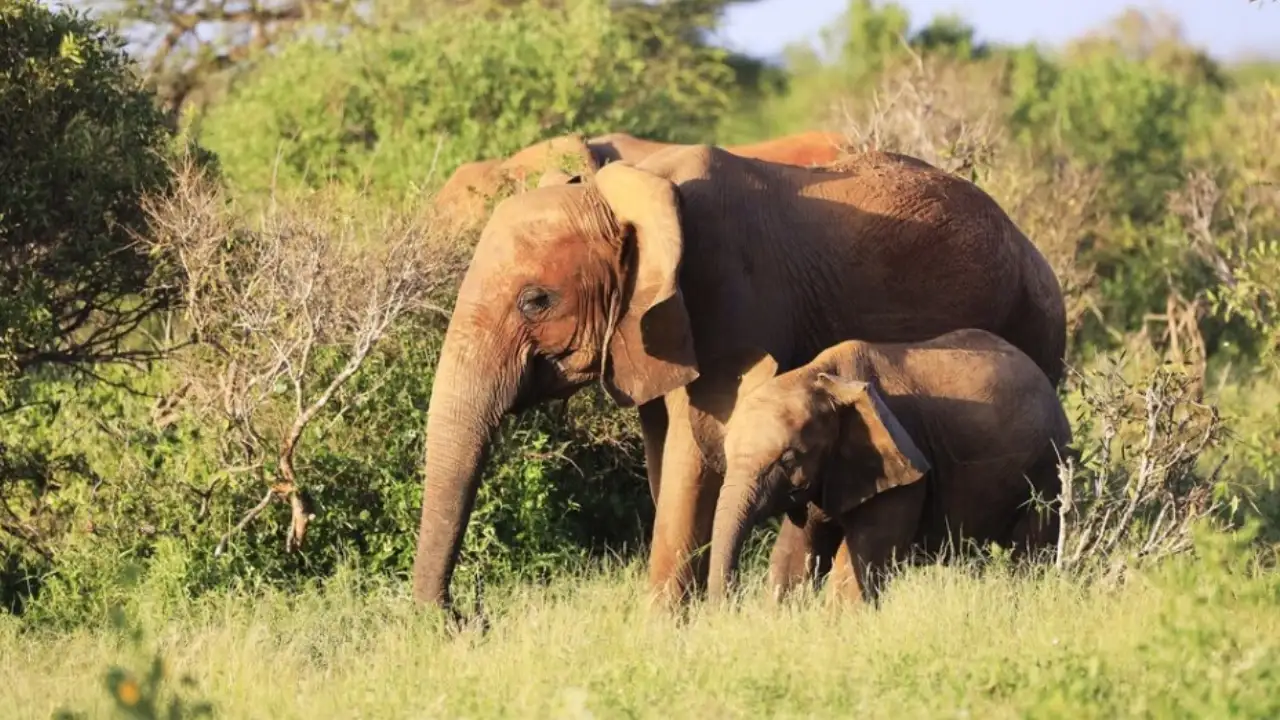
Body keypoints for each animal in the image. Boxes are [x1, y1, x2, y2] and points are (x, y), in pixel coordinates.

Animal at [711, 327, 1070, 602]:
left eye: (787, 459)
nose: (730, 604)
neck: (820, 376)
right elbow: (795, 554)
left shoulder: (905, 464)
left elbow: (859, 559)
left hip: (1049, 467)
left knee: (1031, 554)